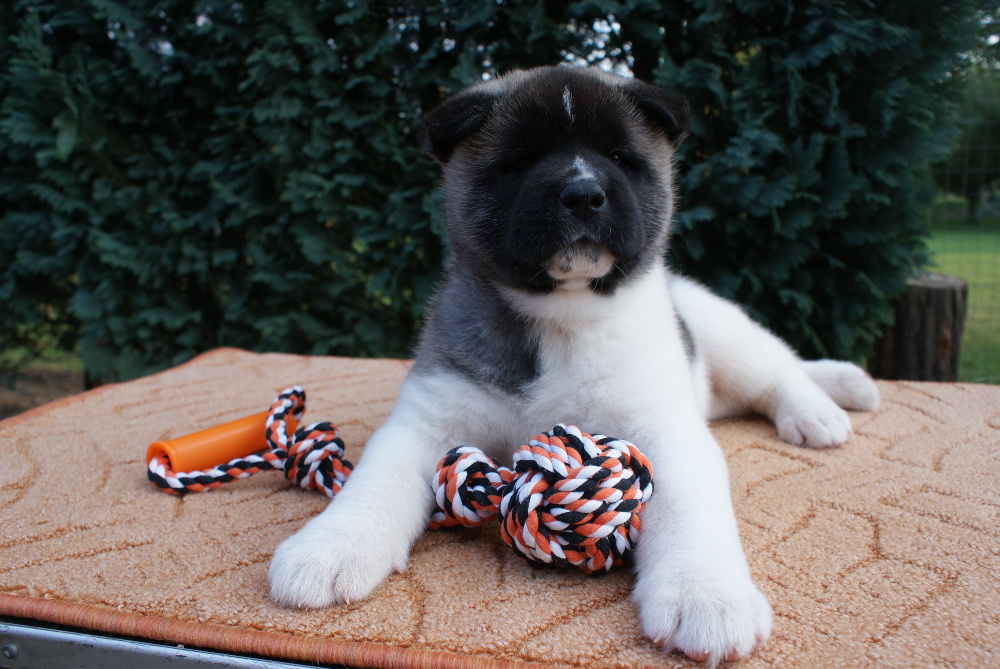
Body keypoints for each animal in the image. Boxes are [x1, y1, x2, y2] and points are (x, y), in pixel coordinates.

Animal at [268, 66, 880, 664]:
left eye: (620, 157)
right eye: (521, 160)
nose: (583, 194)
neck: (562, 314)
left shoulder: (667, 432)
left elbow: (690, 509)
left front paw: (704, 595)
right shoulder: (425, 421)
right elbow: (375, 485)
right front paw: (328, 547)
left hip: (725, 331)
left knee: (781, 369)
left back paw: (825, 403)